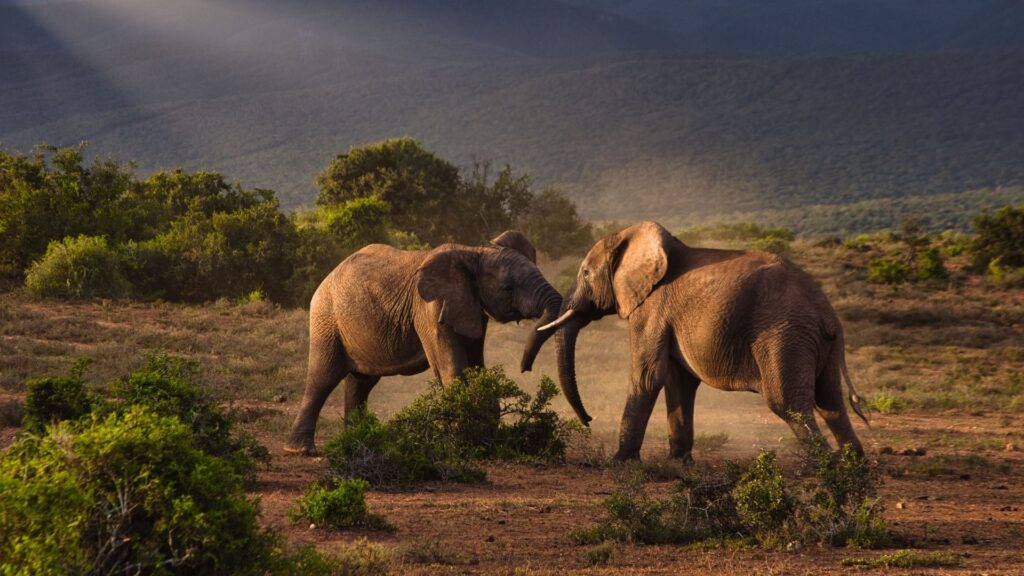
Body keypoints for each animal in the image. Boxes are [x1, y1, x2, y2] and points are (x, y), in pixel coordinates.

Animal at [284, 228, 565, 453]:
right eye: (508, 287)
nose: (524, 367)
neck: (475, 251)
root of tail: (329, 275)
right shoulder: (430, 308)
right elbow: (452, 368)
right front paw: (463, 442)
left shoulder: (470, 307)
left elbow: (476, 367)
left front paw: (484, 439)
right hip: (326, 318)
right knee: (323, 377)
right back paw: (301, 450)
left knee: (360, 382)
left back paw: (355, 443)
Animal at [540, 217, 868, 459]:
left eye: (585, 273)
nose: (588, 420)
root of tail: (827, 311)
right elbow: (677, 380)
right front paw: (678, 463)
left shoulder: (652, 309)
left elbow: (647, 377)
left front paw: (620, 462)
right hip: (815, 342)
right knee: (831, 402)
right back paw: (853, 467)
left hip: (785, 335)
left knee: (789, 403)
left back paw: (825, 471)